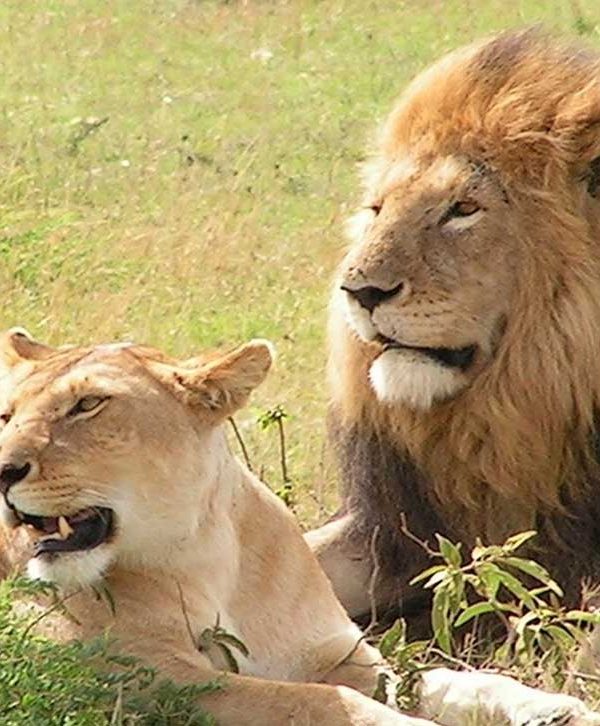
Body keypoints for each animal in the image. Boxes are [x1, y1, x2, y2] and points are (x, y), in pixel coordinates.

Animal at [1, 328, 597, 725]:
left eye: (88, 404)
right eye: (7, 415)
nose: (2, 469)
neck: (203, 555)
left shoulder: (337, 654)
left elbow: (451, 681)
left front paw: (555, 709)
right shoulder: (145, 677)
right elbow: (320, 702)